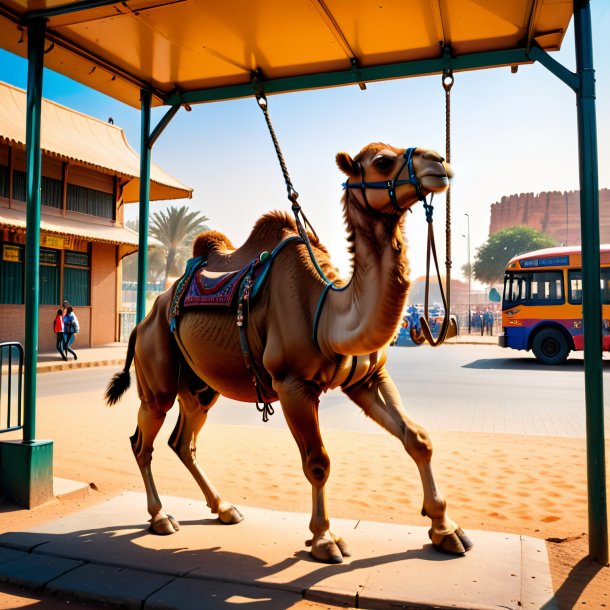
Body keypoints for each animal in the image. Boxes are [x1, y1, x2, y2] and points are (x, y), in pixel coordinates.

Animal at [107, 142, 472, 560]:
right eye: (382, 161)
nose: (438, 163)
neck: (329, 312)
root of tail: (143, 319)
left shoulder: (366, 379)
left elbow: (418, 439)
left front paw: (446, 530)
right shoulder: (292, 384)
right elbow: (317, 463)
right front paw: (324, 539)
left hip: (200, 387)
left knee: (183, 442)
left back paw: (225, 508)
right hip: (158, 374)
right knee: (142, 441)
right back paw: (160, 517)